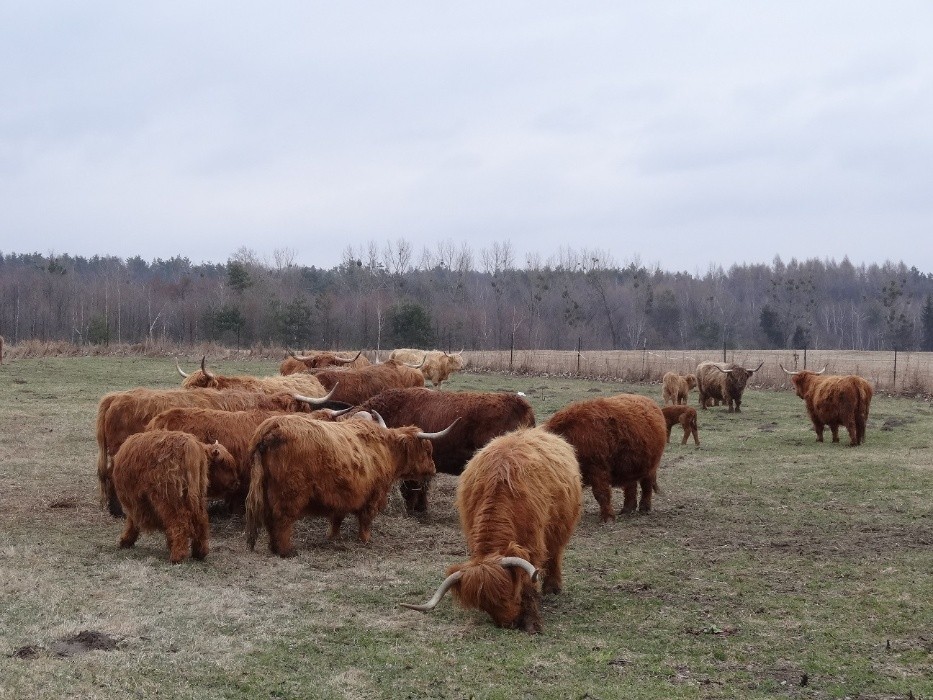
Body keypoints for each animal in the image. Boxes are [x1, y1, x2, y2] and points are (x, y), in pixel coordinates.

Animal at [111, 430, 238, 563]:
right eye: (225, 465)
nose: (236, 483)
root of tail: (191, 445)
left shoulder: (136, 501)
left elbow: (132, 521)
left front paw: (125, 540)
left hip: (169, 499)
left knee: (179, 522)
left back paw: (177, 556)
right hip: (195, 497)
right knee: (201, 520)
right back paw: (199, 553)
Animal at [245, 416, 457, 557]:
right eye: (427, 450)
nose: (433, 469)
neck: (386, 450)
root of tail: (272, 426)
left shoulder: (341, 495)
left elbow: (336, 520)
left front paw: (332, 537)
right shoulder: (373, 495)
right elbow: (366, 520)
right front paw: (365, 540)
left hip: (267, 491)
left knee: (270, 520)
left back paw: (273, 548)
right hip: (290, 493)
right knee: (282, 520)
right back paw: (286, 551)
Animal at [401, 427, 582, 633]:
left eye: (506, 594)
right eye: (484, 605)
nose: (508, 623)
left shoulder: (533, 543)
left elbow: (528, 583)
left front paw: (532, 622)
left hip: (561, 527)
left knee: (555, 553)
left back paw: (553, 588)